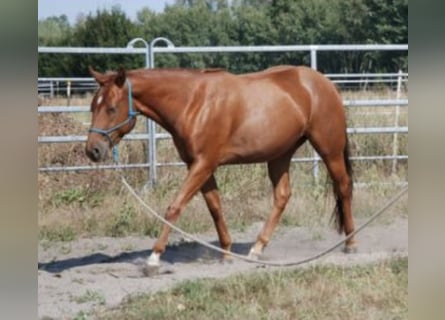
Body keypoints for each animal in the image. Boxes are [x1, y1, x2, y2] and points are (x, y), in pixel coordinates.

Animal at [85, 65, 356, 270]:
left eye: (111, 108)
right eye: (92, 107)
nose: (93, 150)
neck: (193, 103)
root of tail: (325, 84)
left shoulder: (203, 164)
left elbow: (174, 207)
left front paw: (153, 258)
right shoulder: (200, 166)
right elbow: (215, 207)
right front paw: (226, 252)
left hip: (329, 149)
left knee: (343, 187)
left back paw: (350, 244)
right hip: (280, 155)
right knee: (282, 196)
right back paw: (257, 248)